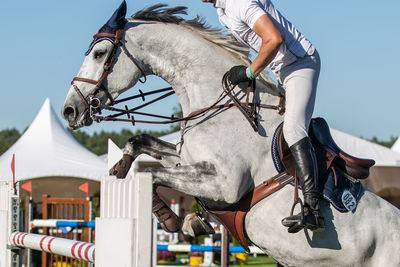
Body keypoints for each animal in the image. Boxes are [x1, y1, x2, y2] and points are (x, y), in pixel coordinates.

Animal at [61, 4, 400, 267]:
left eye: (100, 53)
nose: (69, 110)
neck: (218, 103)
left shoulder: (225, 184)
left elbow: (153, 175)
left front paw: (176, 221)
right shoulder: (187, 160)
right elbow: (141, 144)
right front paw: (120, 169)